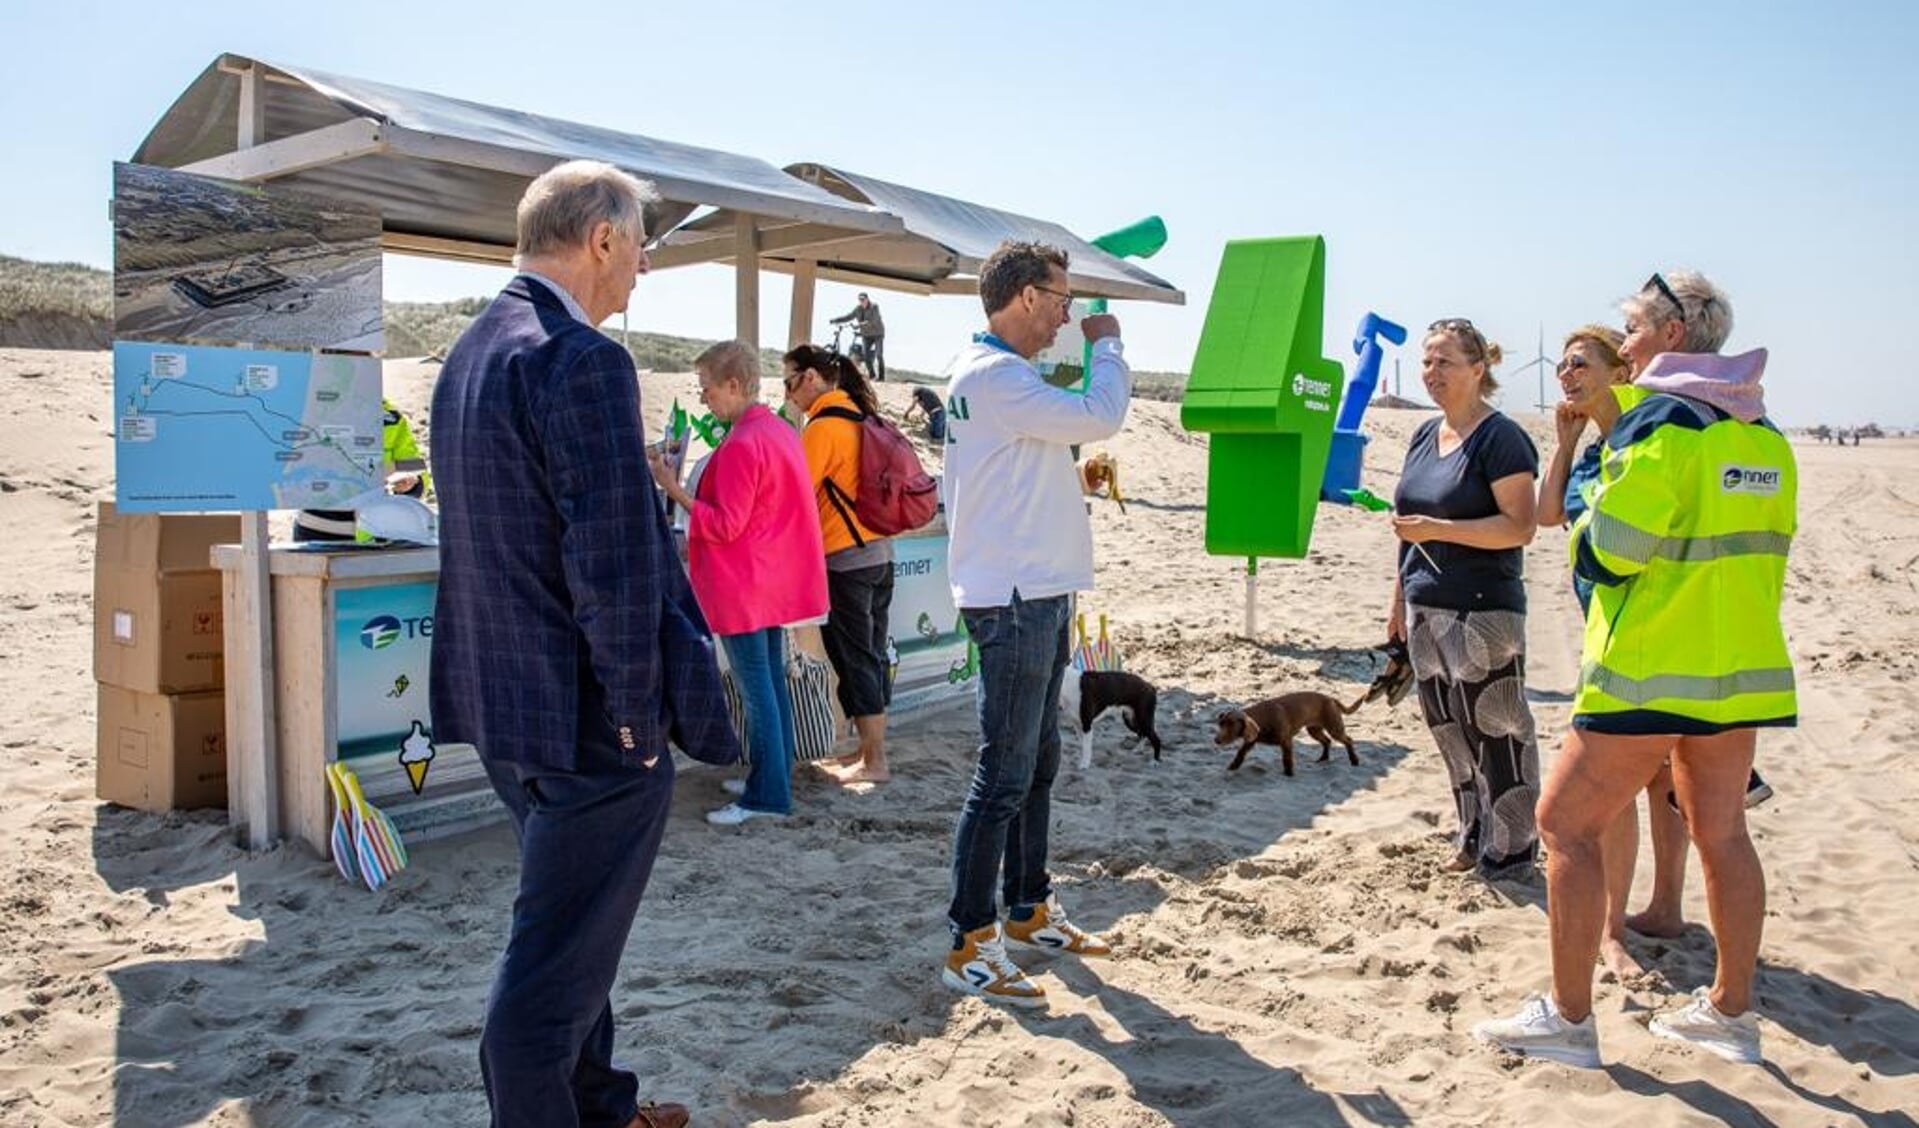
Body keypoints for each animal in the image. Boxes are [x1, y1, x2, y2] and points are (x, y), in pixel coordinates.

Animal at [1212, 690, 1366, 778]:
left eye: (1231, 725)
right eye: (1220, 724)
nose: (1216, 740)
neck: (1264, 718)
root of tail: (1331, 698)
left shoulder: (1286, 741)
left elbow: (1287, 759)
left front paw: (1289, 774)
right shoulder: (1250, 740)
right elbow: (1240, 754)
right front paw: (1233, 767)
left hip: (1334, 728)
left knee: (1348, 740)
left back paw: (1354, 760)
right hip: (1314, 729)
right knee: (1327, 741)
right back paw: (1323, 759)